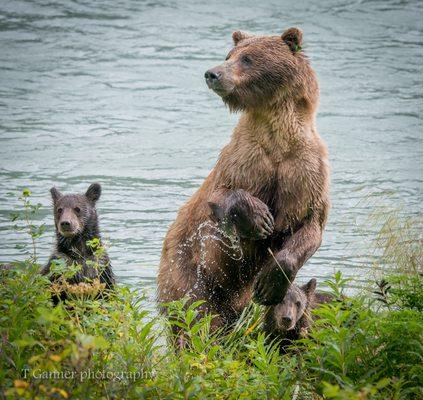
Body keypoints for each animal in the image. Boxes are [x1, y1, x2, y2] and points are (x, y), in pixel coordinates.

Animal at [159, 26, 332, 330]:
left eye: (248, 58)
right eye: (229, 55)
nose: (212, 73)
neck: (277, 136)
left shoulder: (306, 170)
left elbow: (310, 226)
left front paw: (269, 283)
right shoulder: (243, 159)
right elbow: (221, 194)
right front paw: (259, 217)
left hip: (235, 299)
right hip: (187, 270)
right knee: (197, 316)